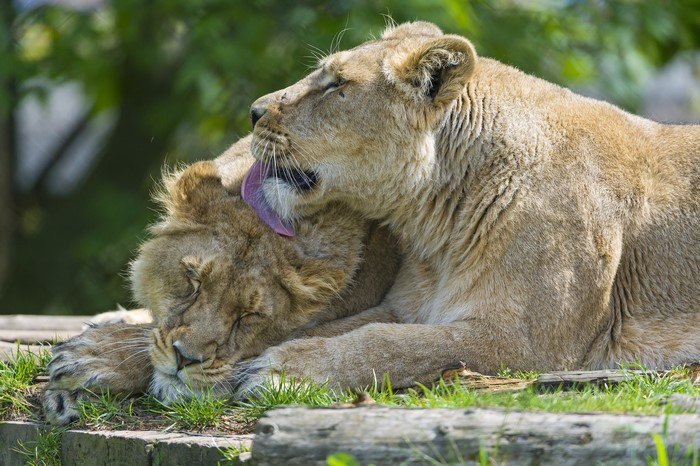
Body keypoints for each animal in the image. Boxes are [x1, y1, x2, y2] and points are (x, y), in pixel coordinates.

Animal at [234, 21, 700, 395]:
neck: (438, 225)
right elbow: (344, 328)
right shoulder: (406, 307)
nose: (253, 111)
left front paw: (281, 370)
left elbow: (386, 343)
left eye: (337, 84)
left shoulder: (523, 341)